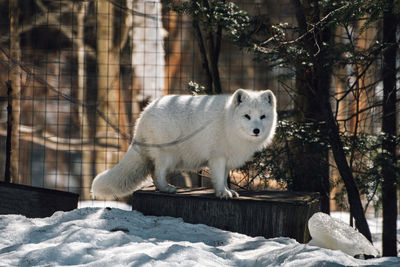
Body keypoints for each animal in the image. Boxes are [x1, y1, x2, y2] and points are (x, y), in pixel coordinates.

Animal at [92, 89, 276, 199]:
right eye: (247, 116)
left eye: (262, 117)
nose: (256, 130)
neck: (227, 121)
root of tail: (144, 113)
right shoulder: (217, 158)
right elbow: (218, 178)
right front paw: (222, 193)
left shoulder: (227, 159)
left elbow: (224, 178)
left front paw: (227, 191)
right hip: (166, 155)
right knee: (157, 172)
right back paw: (166, 188)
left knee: (153, 172)